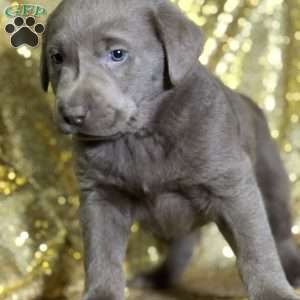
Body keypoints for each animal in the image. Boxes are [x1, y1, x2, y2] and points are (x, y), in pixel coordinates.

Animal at [41, 0, 300, 300]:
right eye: (57, 58)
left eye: (117, 54)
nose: (72, 114)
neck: (141, 136)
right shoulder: (100, 196)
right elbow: (101, 256)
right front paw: (101, 293)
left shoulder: (233, 187)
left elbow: (255, 247)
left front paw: (273, 291)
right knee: (182, 245)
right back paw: (159, 277)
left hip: (273, 183)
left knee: (280, 233)